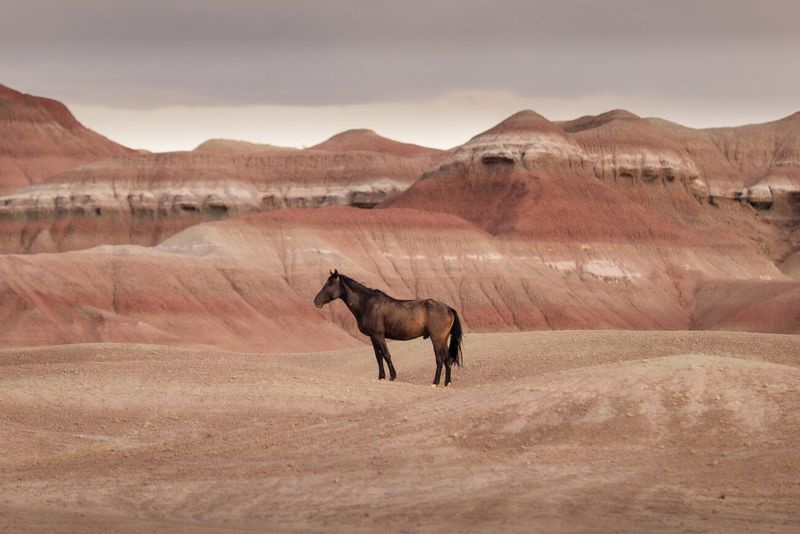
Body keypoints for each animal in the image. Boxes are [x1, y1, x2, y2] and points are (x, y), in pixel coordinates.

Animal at [312, 270, 462, 388]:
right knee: (447, 359)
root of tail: (449, 308)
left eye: (330, 284)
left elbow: (386, 354)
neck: (367, 304)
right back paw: (446, 383)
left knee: (439, 359)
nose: (316, 301)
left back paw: (435, 383)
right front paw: (381, 376)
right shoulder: (372, 337)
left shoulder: (379, 335)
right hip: (443, 339)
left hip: (436, 339)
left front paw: (392, 376)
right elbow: (378, 357)